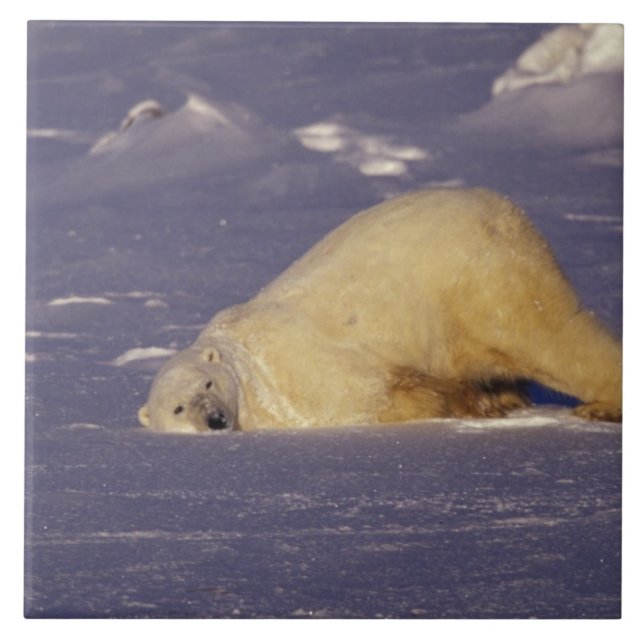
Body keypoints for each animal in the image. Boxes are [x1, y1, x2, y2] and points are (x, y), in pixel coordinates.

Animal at [138, 187, 622, 433]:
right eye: (178, 408)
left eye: (207, 382)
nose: (215, 419)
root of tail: (506, 208)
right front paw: (482, 401)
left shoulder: (299, 374)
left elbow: (383, 392)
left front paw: (468, 402)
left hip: (479, 277)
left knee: (545, 337)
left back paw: (599, 406)